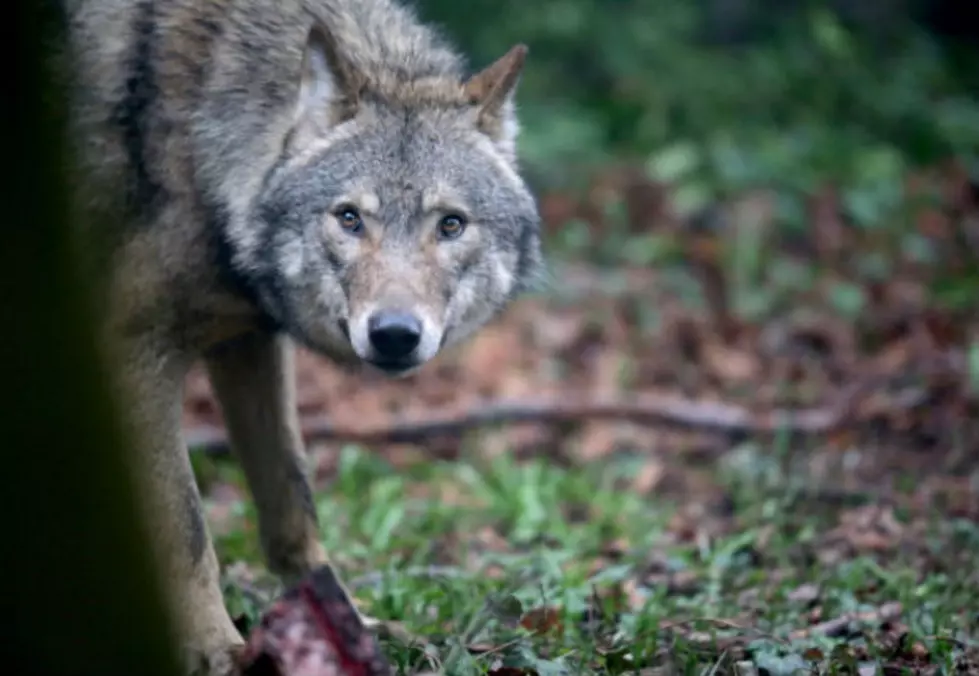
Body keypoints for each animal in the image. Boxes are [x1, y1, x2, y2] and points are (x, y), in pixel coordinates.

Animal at [56, 1, 544, 672]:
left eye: (450, 225)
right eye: (349, 218)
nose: (395, 335)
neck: (203, 129)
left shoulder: (248, 341)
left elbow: (293, 505)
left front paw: (347, 626)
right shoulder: (135, 346)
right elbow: (186, 528)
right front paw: (214, 648)